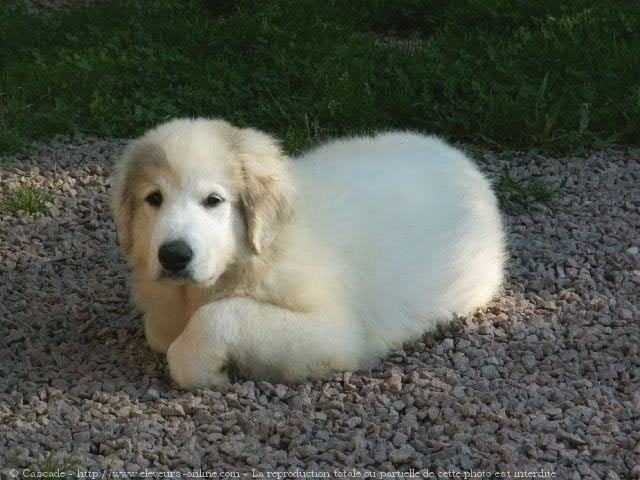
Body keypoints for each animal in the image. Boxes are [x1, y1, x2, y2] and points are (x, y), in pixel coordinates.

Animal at [112, 118, 508, 388]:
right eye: (154, 199)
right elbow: (159, 331)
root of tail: (461, 160)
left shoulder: (336, 333)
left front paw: (207, 368)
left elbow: (219, 316)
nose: (173, 256)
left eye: (213, 201)